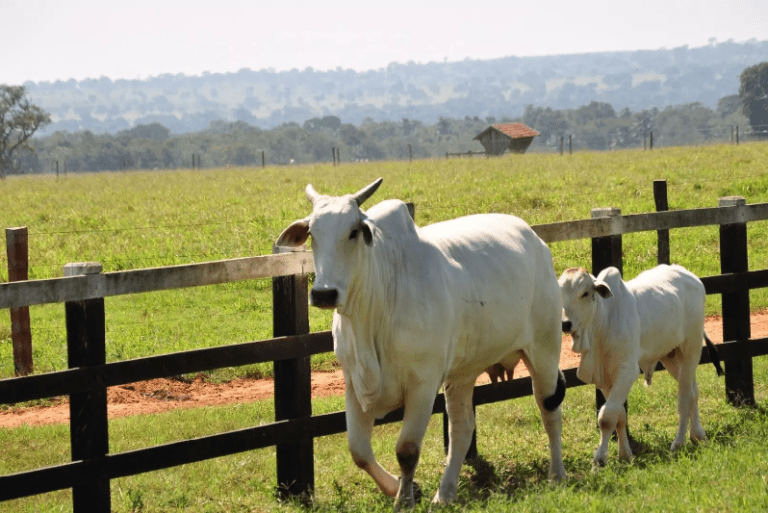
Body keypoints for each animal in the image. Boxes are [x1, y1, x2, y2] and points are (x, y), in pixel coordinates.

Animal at [276, 178, 564, 506]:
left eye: (353, 231)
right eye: (312, 233)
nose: (324, 293)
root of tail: (534, 238)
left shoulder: (423, 384)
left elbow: (407, 450)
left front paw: (404, 500)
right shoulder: (353, 382)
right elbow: (359, 451)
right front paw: (401, 488)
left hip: (544, 351)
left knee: (549, 410)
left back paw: (557, 474)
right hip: (463, 374)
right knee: (462, 430)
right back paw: (445, 493)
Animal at [560, 262, 724, 466]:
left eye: (584, 293)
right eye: (559, 293)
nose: (565, 324)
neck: (602, 322)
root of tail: (691, 277)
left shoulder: (627, 371)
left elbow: (606, 417)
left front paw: (599, 459)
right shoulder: (605, 378)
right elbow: (620, 416)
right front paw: (625, 454)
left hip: (691, 349)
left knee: (685, 398)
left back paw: (679, 442)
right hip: (672, 357)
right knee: (693, 391)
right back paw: (698, 435)